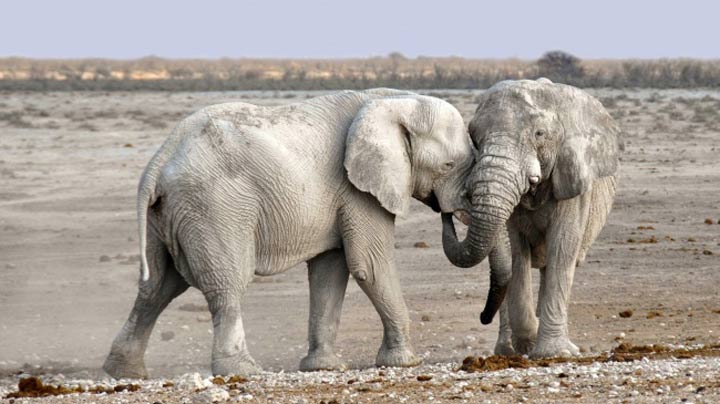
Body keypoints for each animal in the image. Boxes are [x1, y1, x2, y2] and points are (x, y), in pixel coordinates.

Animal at [102, 88, 490, 378]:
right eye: (448, 165)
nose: (447, 213)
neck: (394, 101)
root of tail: (159, 160)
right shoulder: (357, 189)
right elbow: (369, 265)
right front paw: (406, 361)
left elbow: (330, 272)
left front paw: (323, 368)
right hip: (214, 208)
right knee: (226, 284)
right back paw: (243, 371)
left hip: (168, 215)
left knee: (157, 287)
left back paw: (124, 372)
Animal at [442, 79, 620, 356]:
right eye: (474, 137)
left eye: (539, 134)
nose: (447, 212)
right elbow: (516, 252)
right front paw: (529, 341)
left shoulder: (573, 181)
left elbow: (563, 246)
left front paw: (554, 353)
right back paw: (508, 350)